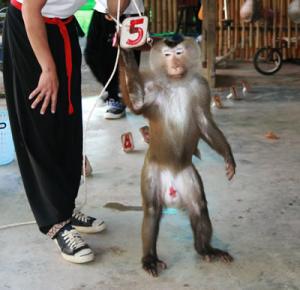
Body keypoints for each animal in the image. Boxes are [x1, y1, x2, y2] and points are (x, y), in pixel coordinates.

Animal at [118, 34, 236, 276]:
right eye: (167, 54)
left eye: (179, 53)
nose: (174, 63)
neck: (176, 82)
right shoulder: (151, 86)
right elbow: (137, 104)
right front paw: (125, 51)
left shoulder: (201, 87)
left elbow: (204, 121)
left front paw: (229, 159)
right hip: (153, 171)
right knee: (152, 210)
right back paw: (150, 258)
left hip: (187, 176)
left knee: (198, 206)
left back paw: (205, 249)